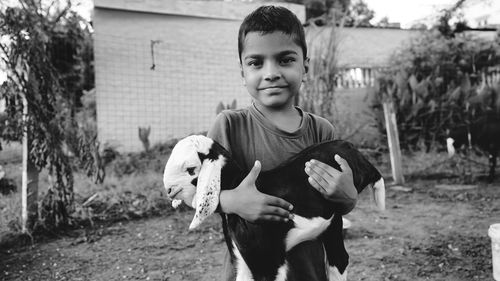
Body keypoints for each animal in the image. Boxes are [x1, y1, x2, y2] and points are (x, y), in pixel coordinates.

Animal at [162, 135, 384, 278]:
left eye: (191, 169)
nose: (169, 190)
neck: (237, 181)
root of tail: (352, 148)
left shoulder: (265, 258)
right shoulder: (243, 257)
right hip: (333, 222)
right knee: (339, 259)